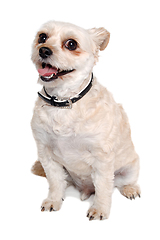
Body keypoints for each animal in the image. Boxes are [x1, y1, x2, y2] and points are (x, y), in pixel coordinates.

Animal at [30, 21, 141, 220]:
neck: (64, 103)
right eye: (42, 37)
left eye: (71, 44)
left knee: (122, 182)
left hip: (130, 168)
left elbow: (103, 188)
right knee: (64, 182)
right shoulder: (46, 154)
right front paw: (54, 200)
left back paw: (130, 189)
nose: (43, 50)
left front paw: (99, 209)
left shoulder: (102, 158)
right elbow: (55, 182)